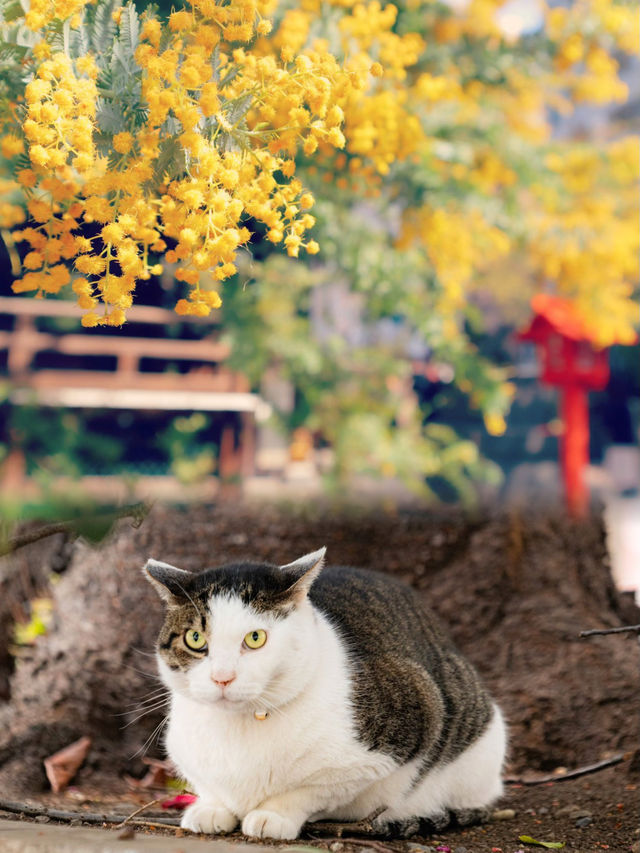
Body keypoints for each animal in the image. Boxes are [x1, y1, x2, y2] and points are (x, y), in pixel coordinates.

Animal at [144, 544, 504, 840]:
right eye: (194, 639)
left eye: (255, 638)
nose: (222, 677)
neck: (240, 725)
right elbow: (210, 787)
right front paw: (212, 807)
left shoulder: (407, 725)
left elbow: (313, 790)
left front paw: (273, 815)